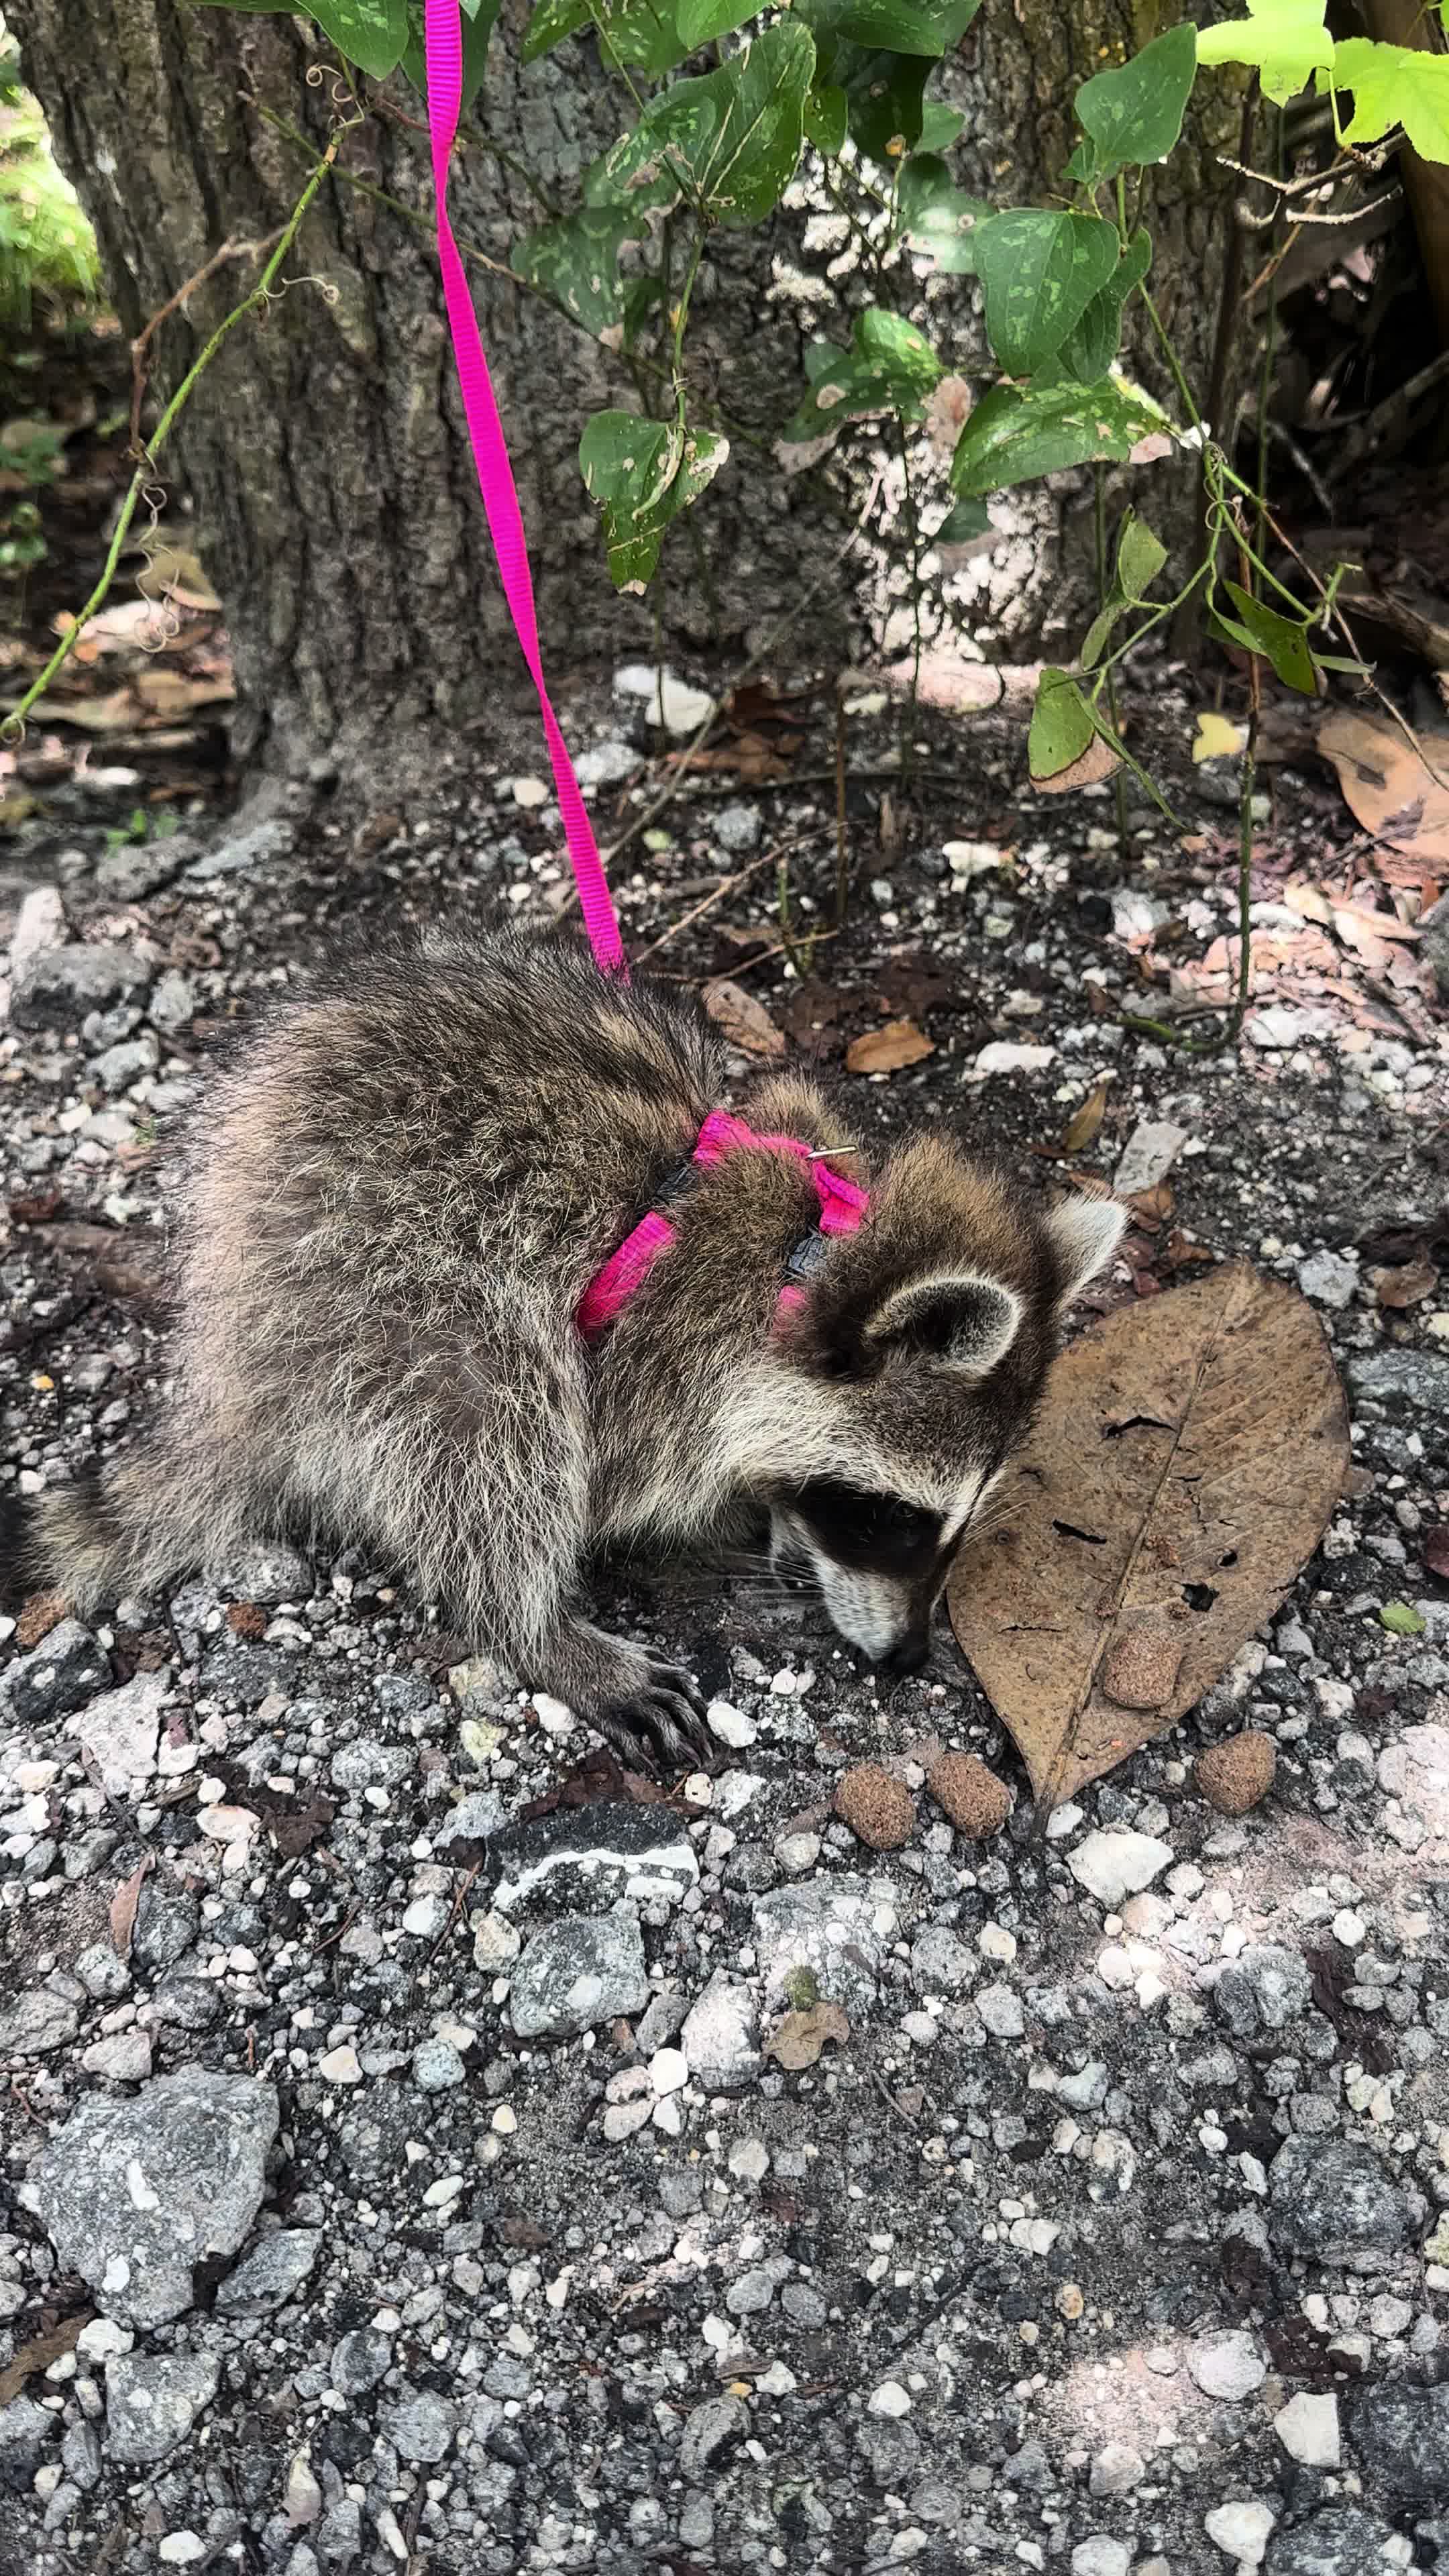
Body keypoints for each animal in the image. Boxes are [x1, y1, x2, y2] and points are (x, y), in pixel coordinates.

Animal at [21, 930, 1123, 1769]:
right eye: (890, 1518)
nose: (907, 1658)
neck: (808, 1253)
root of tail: (225, 1360)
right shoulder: (667, 1358)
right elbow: (601, 1474)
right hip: (377, 1308)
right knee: (488, 1426)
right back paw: (535, 1626)